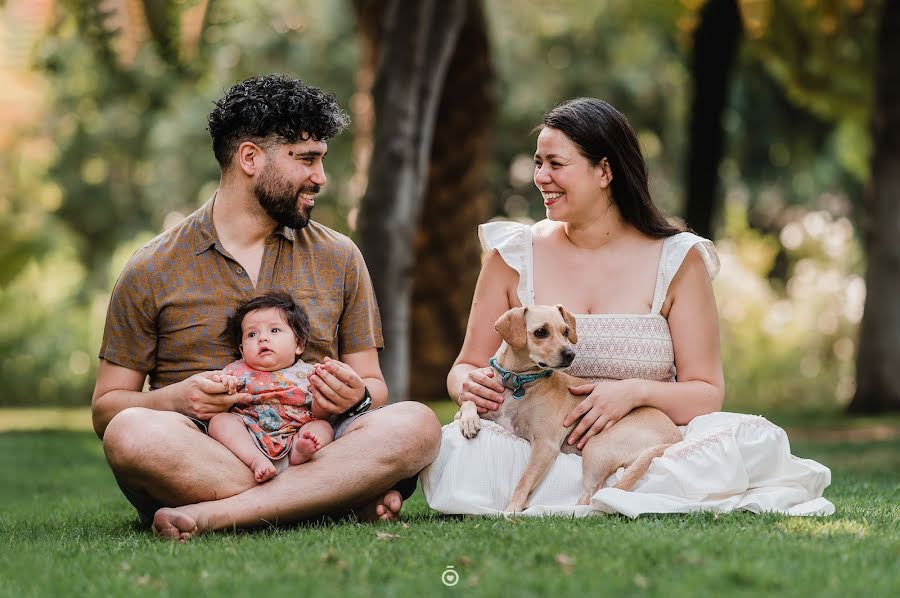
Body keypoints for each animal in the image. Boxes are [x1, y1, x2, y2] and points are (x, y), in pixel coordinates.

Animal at [458, 308, 684, 512]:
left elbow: (525, 479)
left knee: (590, 497)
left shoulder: (546, 445)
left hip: (596, 447)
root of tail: (674, 439)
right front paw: (468, 420)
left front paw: (512, 509)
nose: (570, 354)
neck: (517, 383)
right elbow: (467, 403)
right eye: (541, 332)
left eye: (566, 331)